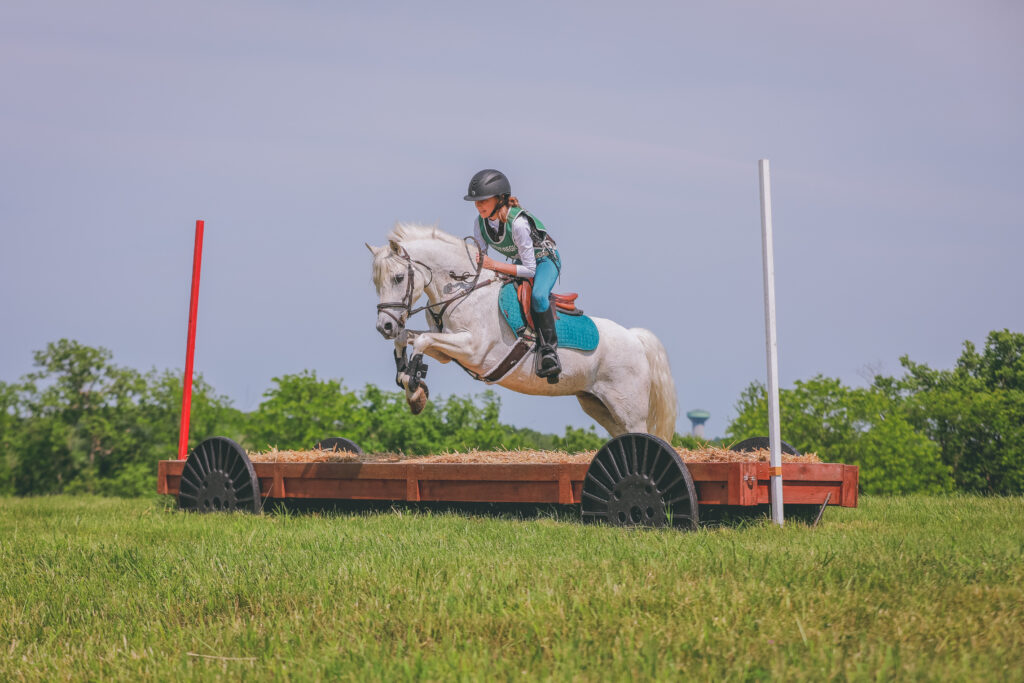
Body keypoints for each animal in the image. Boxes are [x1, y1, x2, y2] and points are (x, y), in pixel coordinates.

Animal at [368, 222, 679, 440]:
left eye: (398, 278)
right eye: (375, 282)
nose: (384, 326)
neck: (462, 289)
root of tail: (635, 339)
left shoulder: (472, 348)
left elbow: (421, 339)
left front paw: (414, 388)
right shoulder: (447, 349)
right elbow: (408, 338)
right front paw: (407, 377)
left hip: (628, 408)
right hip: (597, 404)